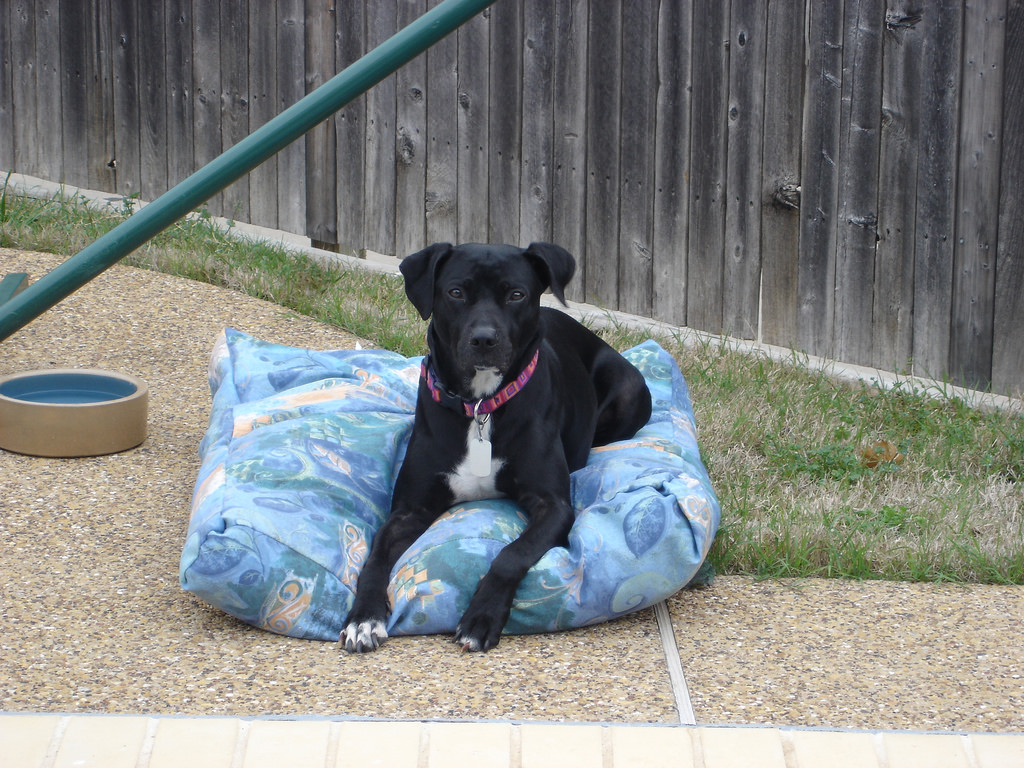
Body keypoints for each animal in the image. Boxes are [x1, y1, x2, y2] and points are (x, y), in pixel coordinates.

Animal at [342, 243, 647, 651]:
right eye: (456, 292)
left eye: (516, 294)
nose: (484, 339)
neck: (480, 406)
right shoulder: (410, 509)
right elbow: (374, 557)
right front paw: (363, 617)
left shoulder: (553, 506)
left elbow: (510, 555)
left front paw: (480, 617)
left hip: (630, 389)